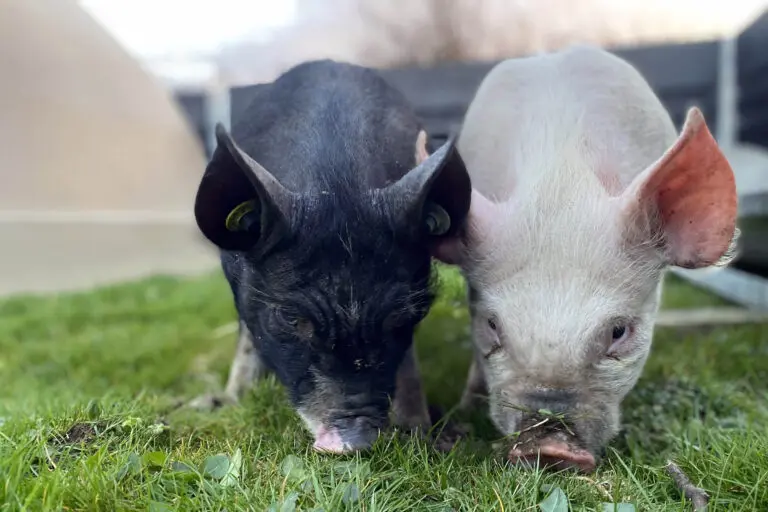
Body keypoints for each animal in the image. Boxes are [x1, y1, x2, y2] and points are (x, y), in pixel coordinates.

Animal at [191, 59, 472, 454]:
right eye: (291, 318)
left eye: (401, 318)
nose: (357, 442)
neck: (336, 181)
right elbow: (247, 337)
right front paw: (218, 404)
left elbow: (408, 363)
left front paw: (422, 433)